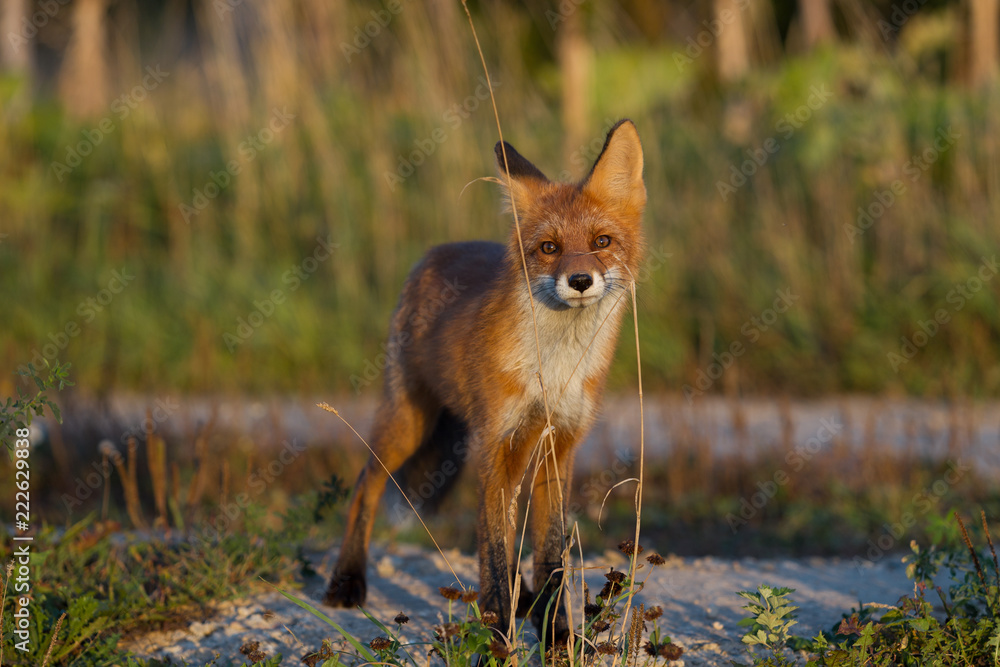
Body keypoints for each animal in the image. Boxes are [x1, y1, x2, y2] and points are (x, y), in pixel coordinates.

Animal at [325, 119, 646, 639]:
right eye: (549, 248)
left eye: (602, 242)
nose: (580, 280)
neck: (553, 370)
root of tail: (439, 249)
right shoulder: (498, 441)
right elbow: (492, 554)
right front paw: (498, 639)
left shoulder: (559, 446)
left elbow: (548, 556)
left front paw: (557, 637)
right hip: (409, 422)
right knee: (363, 486)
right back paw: (347, 580)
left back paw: (526, 601)